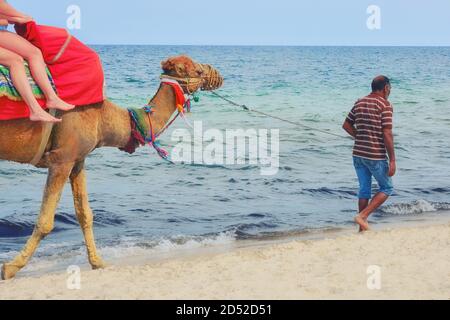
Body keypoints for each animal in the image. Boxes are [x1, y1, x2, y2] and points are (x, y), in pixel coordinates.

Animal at [0, 55, 224, 280]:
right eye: (198, 71)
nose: (218, 75)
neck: (102, 117)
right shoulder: (62, 158)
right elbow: (46, 221)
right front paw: (10, 268)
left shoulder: (77, 160)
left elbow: (85, 214)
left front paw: (98, 262)